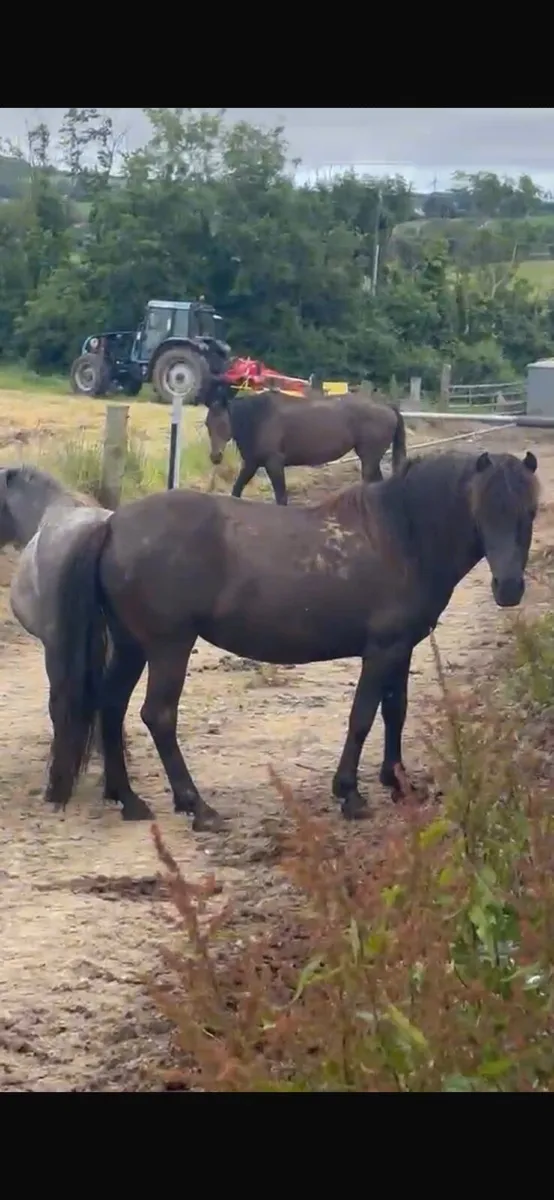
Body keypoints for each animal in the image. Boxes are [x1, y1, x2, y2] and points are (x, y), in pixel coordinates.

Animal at [40, 448, 539, 834]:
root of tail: (114, 525)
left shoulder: (402, 648)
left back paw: (127, 799)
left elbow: (395, 712)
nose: (510, 588)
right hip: (168, 646)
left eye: (529, 512)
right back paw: (197, 806)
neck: (402, 536)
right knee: (157, 715)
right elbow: (362, 717)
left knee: (111, 706)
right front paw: (350, 794)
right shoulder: (381, 651)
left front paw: (398, 783)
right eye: (482, 510)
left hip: (131, 645)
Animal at [205, 387, 407, 504]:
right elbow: (236, 491)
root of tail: (387, 407)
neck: (259, 418)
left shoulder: (274, 463)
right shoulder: (252, 464)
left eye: (223, 423)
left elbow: (281, 498)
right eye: (207, 424)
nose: (215, 456)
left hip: (369, 458)